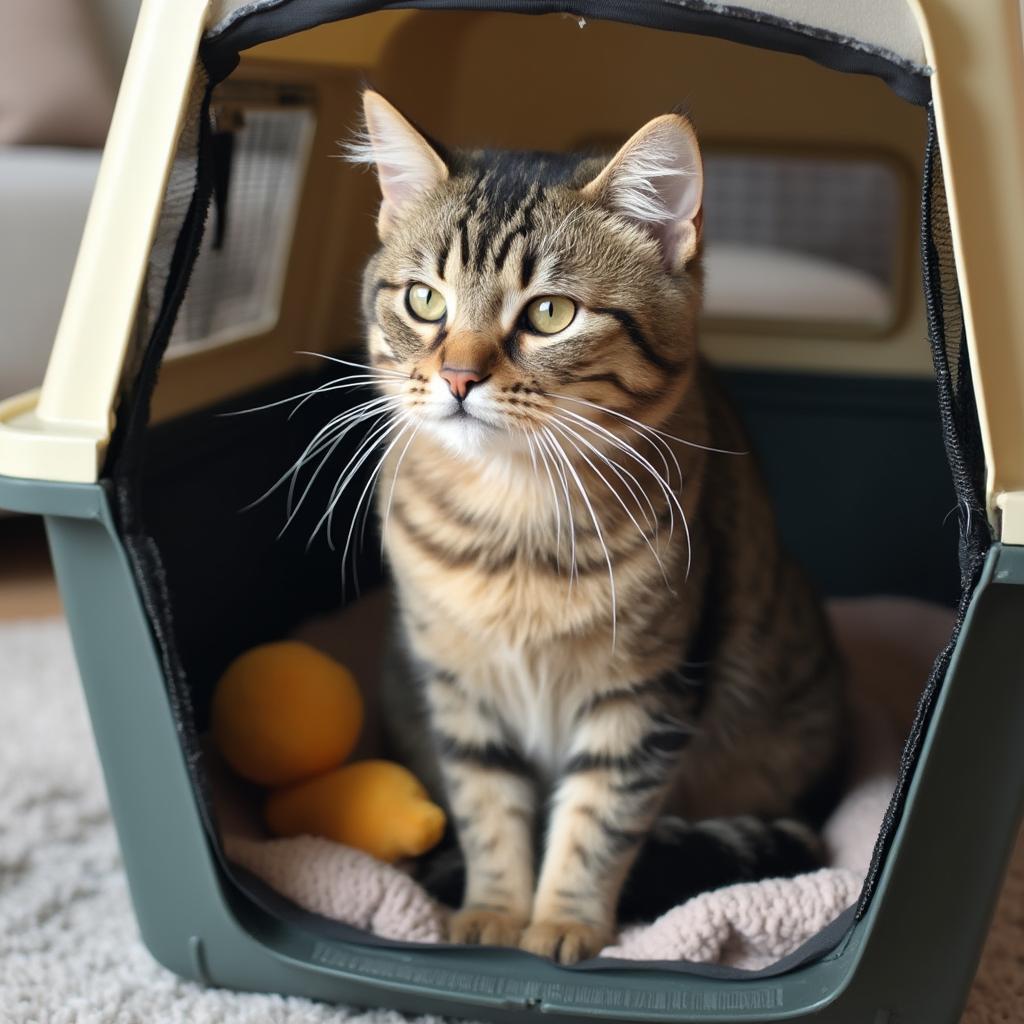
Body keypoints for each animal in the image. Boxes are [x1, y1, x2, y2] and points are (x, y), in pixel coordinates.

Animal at [344, 92, 839, 962]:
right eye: (425, 300)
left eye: (550, 313)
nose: (458, 377)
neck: (512, 512)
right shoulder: (460, 688)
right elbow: (487, 806)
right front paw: (494, 913)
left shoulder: (642, 693)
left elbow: (596, 823)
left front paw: (561, 925)